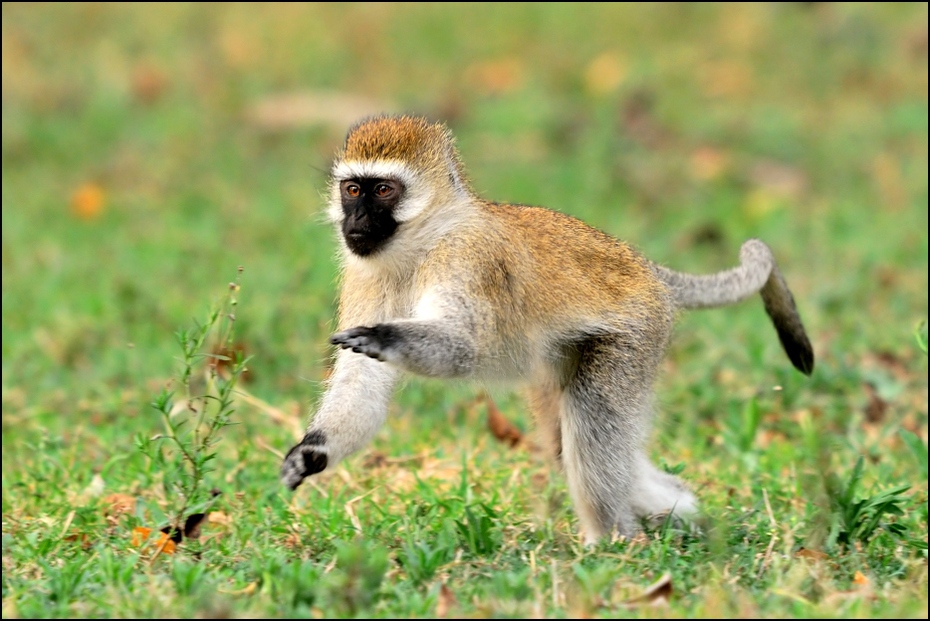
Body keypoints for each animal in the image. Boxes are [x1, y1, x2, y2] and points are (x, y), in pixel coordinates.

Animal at [278, 116, 812, 544]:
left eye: (384, 190)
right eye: (352, 190)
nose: (356, 220)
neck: (423, 241)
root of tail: (645, 270)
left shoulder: (468, 259)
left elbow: (466, 347)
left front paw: (384, 338)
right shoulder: (364, 273)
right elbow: (362, 382)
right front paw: (314, 453)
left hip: (636, 333)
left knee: (593, 423)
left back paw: (614, 544)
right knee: (566, 439)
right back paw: (675, 507)